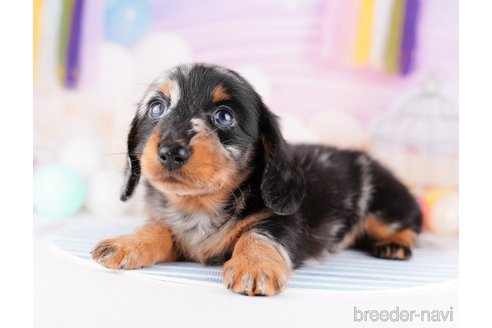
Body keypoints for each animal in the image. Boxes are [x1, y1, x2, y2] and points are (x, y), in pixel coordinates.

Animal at [92, 62, 422, 296]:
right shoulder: (170, 226)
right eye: (156, 108)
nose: (170, 151)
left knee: (408, 225)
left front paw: (254, 265)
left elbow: (257, 235)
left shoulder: (284, 224)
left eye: (224, 116)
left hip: (384, 206)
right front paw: (126, 243)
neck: (199, 207)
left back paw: (394, 245)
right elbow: (156, 229)